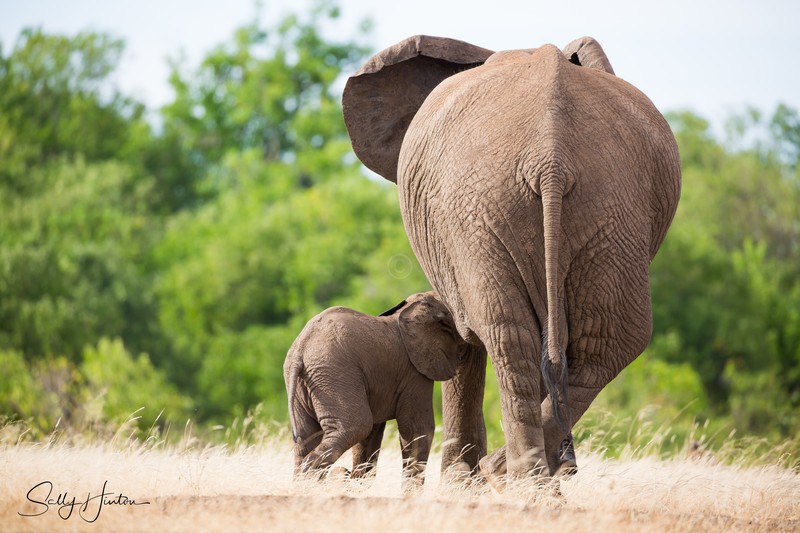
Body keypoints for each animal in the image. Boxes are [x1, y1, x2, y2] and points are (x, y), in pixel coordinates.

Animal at [284, 291, 467, 492]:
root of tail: (300, 350)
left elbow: (372, 434)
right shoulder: (414, 373)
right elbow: (417, 428)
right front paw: (409, 495)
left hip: (308, 384)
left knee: (306, 438)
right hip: (333, 374)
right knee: (356, 426)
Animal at [342, 35, 681, 482]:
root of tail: (551, 158)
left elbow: (461, 332)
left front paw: (460, 481)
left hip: (486, 209)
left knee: (515, 336)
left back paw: (507, 475)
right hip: (604, 207)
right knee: (599, 344)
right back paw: (531, 478)